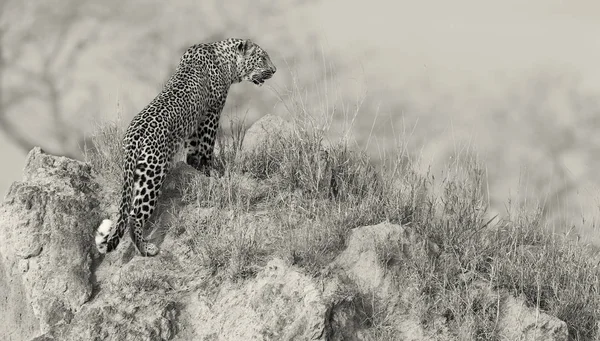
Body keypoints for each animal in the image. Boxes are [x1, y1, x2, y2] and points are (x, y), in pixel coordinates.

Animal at [95, 37, 276, 255]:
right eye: (263, 58)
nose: (274, 70)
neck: (226, 60)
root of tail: (132, 137)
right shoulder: (211, 113)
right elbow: (207, 147)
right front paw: (210, 173)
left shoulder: (194, 124)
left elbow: (193, 150)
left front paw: (195, 168)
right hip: (153, 173)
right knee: (135, 214)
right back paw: (146, 248)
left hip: (139, 174)